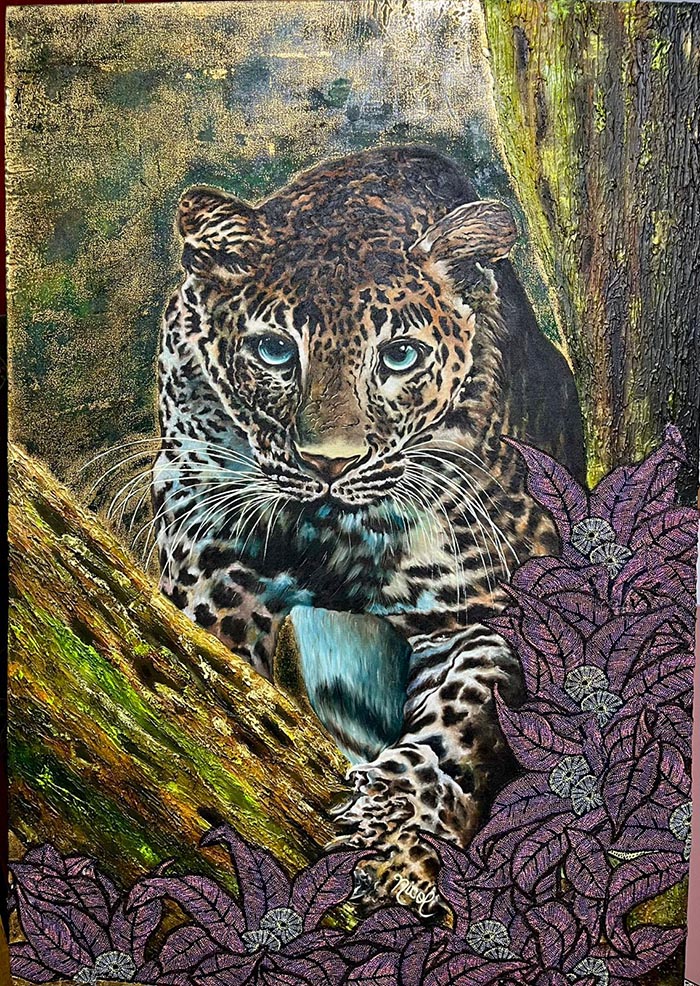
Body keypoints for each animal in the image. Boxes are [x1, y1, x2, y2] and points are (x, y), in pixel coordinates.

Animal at [152, 145, 585, 910]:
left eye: (400, 357)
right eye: (273, 351)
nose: (330, 463)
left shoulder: (484, 605)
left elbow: (468, 704)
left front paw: (394, 823)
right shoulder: (203, 547)